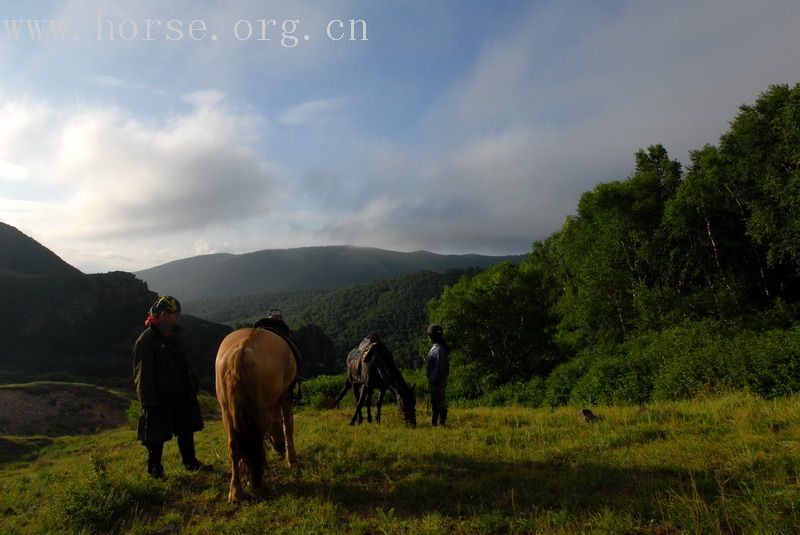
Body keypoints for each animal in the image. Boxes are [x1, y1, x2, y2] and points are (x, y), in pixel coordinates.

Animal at [216, 326, 296, 502]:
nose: (279, 449)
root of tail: (241, 350)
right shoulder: (285, 395)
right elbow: (288, 426)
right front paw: (291, 460)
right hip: (262, 409)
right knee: (256, 441)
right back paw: (257, 480)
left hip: (226, 410)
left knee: (234, 444)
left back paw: (236, 490)